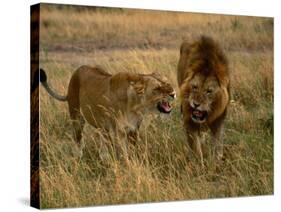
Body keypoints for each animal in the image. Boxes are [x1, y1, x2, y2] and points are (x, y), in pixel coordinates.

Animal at [39, 65, 175, 160]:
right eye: (157, 88)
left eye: (167, 84)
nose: (173, 94)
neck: (136, 106)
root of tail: (77, 70)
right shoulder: (120, 131)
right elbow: (125, 154)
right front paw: (128, 167)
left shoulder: (133, 129)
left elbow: (133, 151)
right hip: (76, 116)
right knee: (78, 140)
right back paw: (78, 158)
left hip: (103, 126)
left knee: (103, 143)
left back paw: (105, 159)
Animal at [177, 36, 230, 166]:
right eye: (195, 87)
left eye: (209, 91)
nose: (195, 104)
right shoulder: (189, 120)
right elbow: (195, 148)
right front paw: (198, 166)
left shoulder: (219, 120)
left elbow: (217, 144)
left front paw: (216, 164)